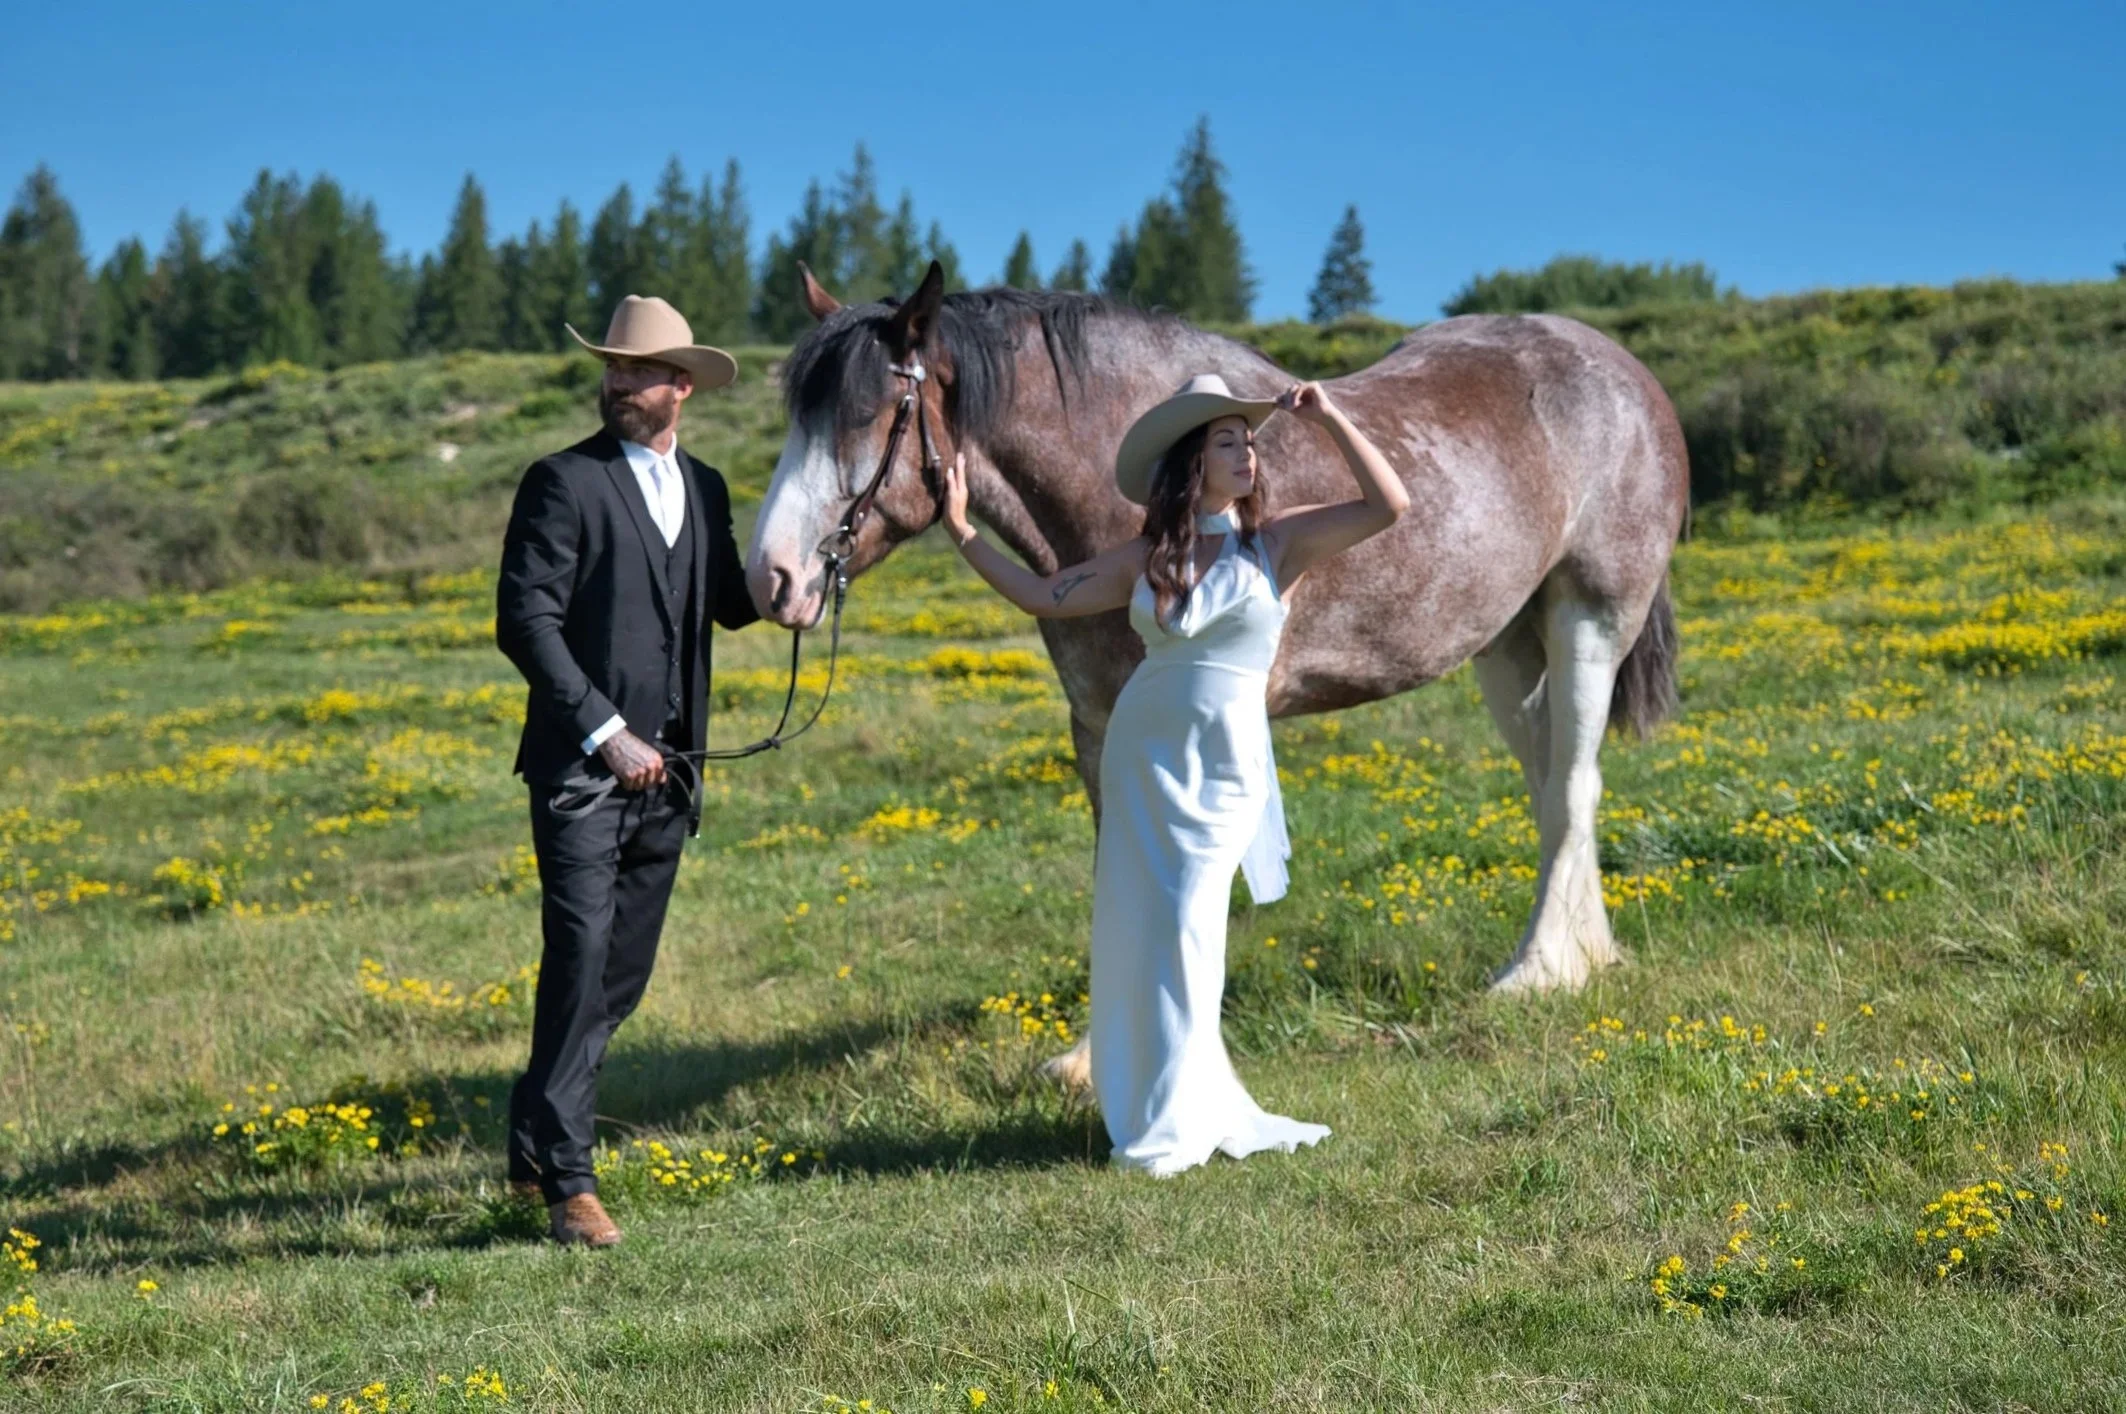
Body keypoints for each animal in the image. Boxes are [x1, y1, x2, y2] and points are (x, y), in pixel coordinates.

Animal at [746, 262, 1687, 1084]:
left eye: (869, 414)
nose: (771, 578)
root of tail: (1621, 371)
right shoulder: (1099, 727)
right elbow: (1121, 875)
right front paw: (1092, 1062)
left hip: (1589, 618)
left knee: (1573, 785)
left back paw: (1537, 971)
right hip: (1507, 645)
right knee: (1552, 780)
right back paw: (1583, 955)